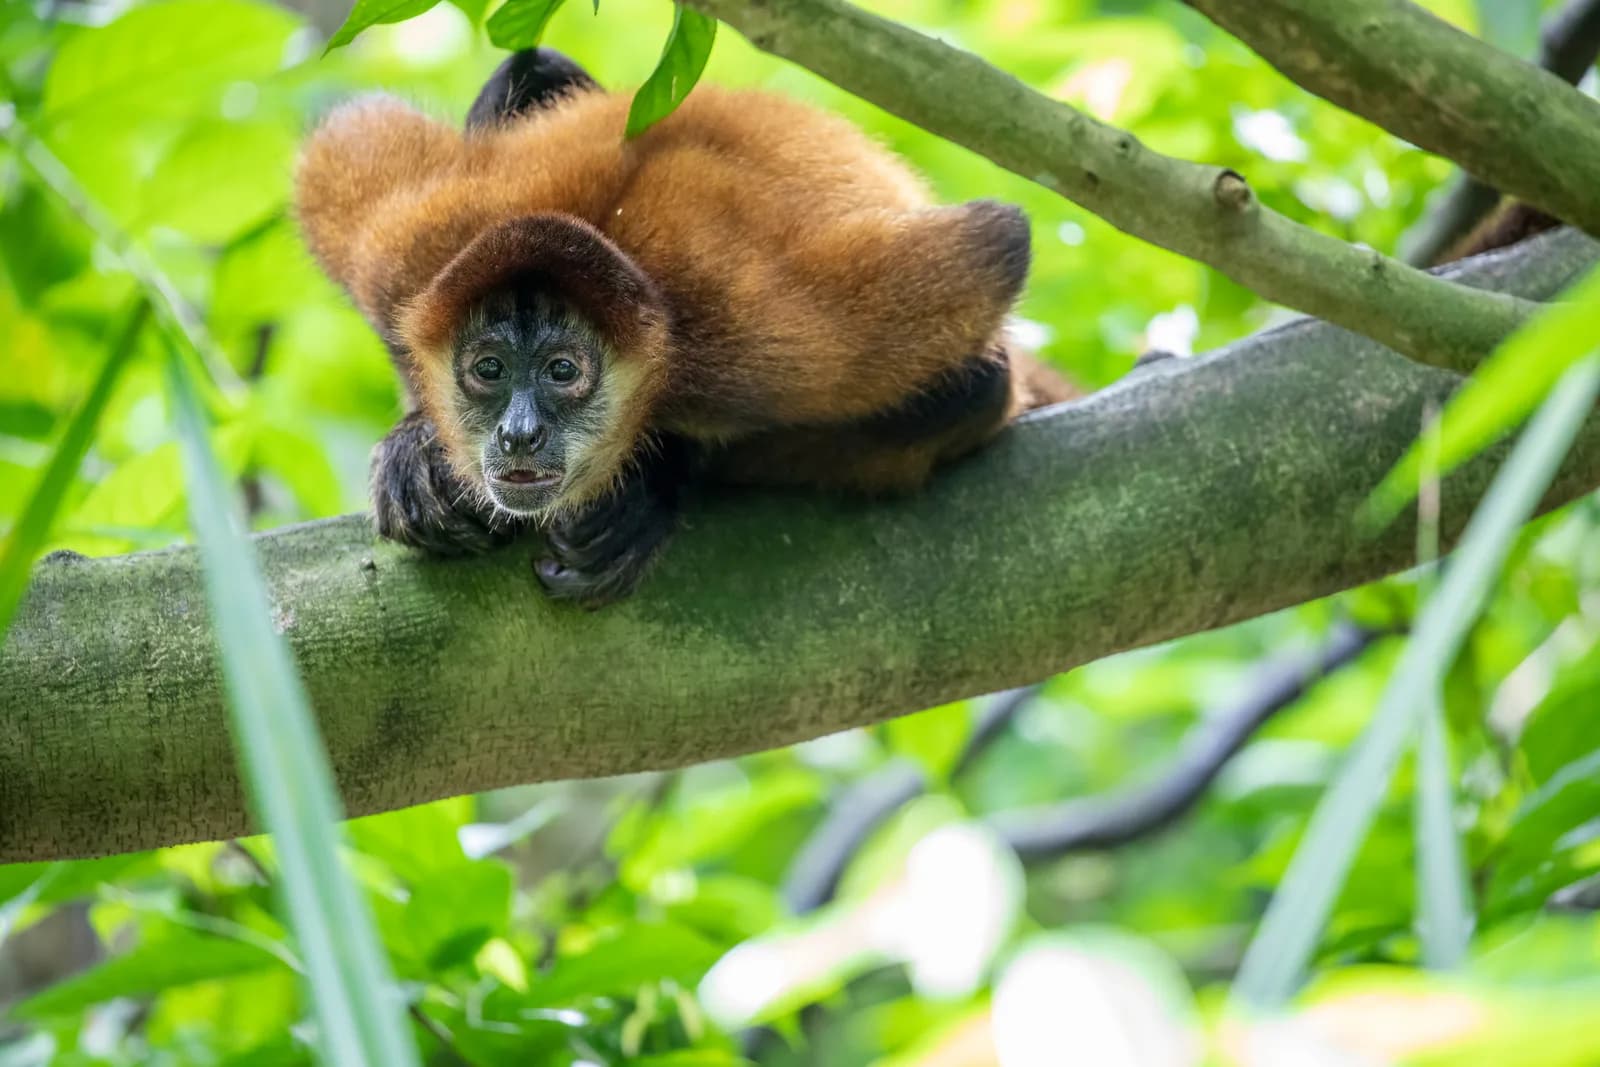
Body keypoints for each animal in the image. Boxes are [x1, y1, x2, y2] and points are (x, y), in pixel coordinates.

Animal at [294, 48, 1074, 606]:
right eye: (488, 370)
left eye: (563, 373)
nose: (519, 434)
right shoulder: (409, 257)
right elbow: (349, 142)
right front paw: (418, 444)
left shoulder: (763, 347)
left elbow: (998, 241)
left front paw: (655, 481)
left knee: (978, 384)